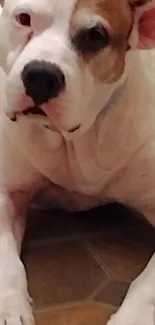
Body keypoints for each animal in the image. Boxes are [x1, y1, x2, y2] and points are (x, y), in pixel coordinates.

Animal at [0, 0, 155, 322]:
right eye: (24, 18)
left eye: (95, 36)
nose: (41, 76)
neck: (74, 141)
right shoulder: (8, 193)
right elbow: (7, 263)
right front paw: (10, 308)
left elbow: (146, 288)